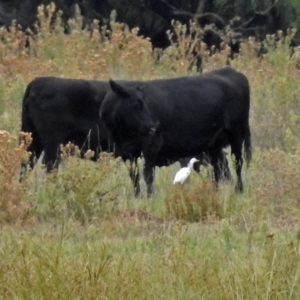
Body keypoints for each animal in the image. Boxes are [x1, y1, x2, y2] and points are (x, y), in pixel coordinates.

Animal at [99, 67, 252, 196]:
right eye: (136, 104)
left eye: (144, 103)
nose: (153, 126)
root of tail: (231, 71)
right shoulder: (126, 153)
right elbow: (134, 176)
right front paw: (137, 196)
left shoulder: (151, 146)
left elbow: (148, 174)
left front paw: (150, 196)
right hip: (214, 144)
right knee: (218, 169)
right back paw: (215, 190)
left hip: (237, 134)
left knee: (237, 163)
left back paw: (239, 189)